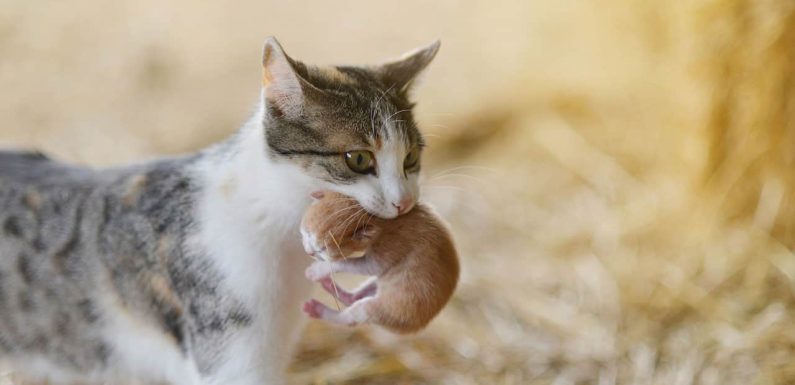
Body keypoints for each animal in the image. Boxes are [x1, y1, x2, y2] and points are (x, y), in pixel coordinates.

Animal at [298, 190, 460, 332]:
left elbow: (361, 265)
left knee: (351, 317)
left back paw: (318, 309)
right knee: (354, 297)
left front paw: (316, 270)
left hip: (385, 308)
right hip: (380, 283)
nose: (308, 252)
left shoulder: (393, 244)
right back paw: (330, 286)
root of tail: (415, 327)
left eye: (323, 249)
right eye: (307, 233)